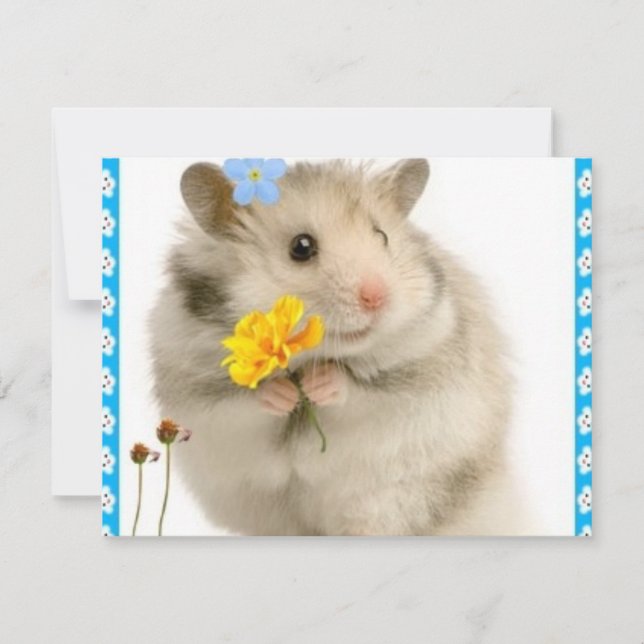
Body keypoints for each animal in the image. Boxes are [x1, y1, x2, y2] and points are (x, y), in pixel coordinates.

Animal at [149, 158, 521, 536]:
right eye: (301, 247)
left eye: (382, 236)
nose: (377, 298)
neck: (309, 358)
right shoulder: (202, 399)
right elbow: (246, 403)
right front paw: (283, 393)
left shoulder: (417, 382)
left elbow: (358, 393)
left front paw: (320, 384)